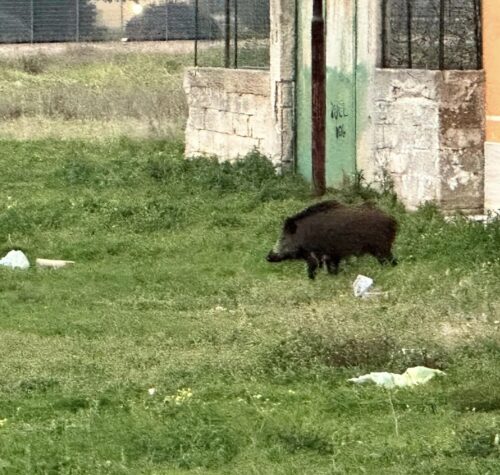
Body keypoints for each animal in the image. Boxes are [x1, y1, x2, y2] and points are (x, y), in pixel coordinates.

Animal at [266, 200, 398, 279]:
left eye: (283, 237)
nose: (267, 257)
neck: (303, 234)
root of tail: (392, 220)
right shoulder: (332, 255)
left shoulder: (318, 254)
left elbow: (314, 268)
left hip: (381, 248)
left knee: (391, 261)